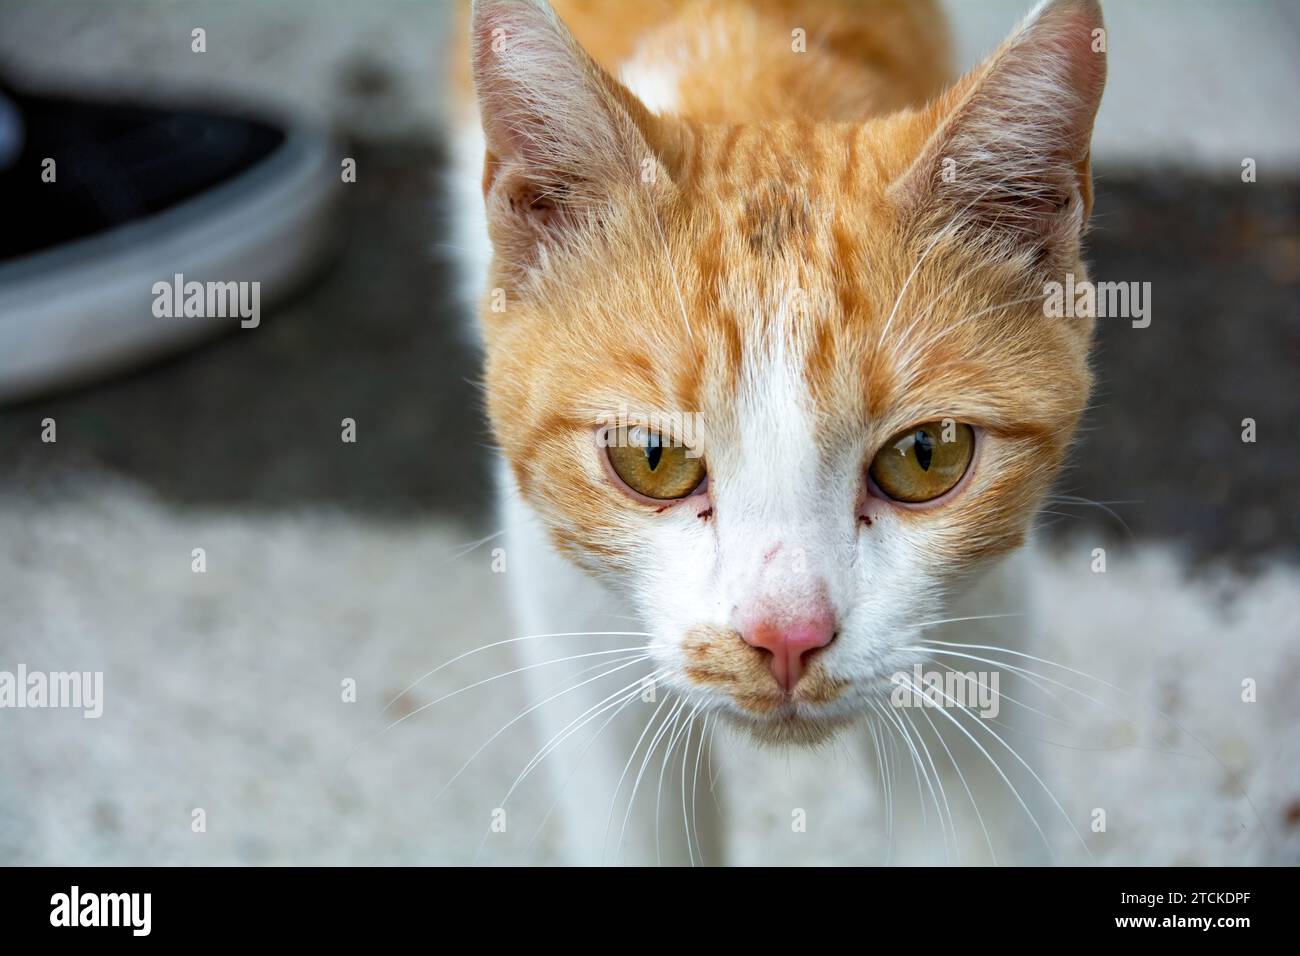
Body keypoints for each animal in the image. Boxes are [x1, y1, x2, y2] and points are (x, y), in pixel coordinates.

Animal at [454, 0, 1107, 868]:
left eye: (927, 455)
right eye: (651, 458)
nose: (788, 635)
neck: (756, 71)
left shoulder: (978, 624)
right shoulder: (566, 613)